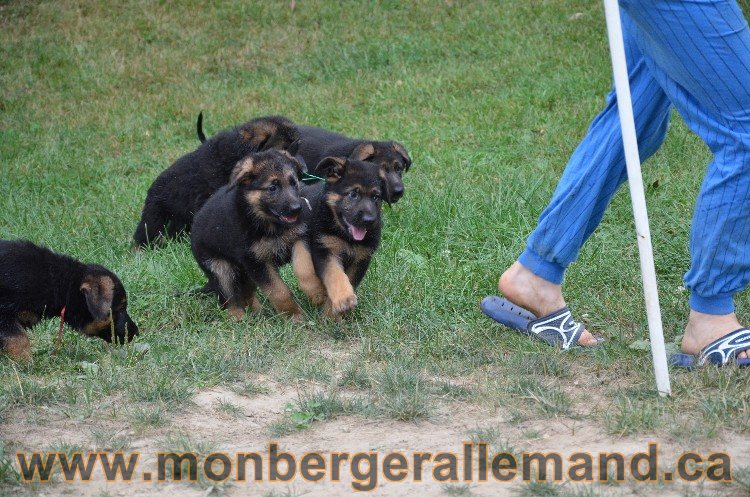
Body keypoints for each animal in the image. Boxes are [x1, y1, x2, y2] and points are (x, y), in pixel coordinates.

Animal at [0, 238, 140, 358]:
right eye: (120, 309)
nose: (136, 332)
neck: (58, 282)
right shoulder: (5, 316)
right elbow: (20, 339)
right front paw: (26, 364)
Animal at [191, 149, 308, 320]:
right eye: (272, 188)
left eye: (293, 183)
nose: (297, 208)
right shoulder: (257, 263)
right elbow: (279, 292)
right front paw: (294, 316)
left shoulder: (297, 238)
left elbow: (303, 261)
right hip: (220, 268)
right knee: (229, 299)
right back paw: (238, 317)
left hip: (245, 272)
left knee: (246, 294)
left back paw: (258, 312)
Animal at [292, 157, 384, 316]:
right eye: (353, 194)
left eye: (375, 197)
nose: (369, 220)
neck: (346, 237)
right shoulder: (325, 250)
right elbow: (335, 274)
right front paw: (343, 299)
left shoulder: (361, 259)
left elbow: (350, 280)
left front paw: (331, 314)